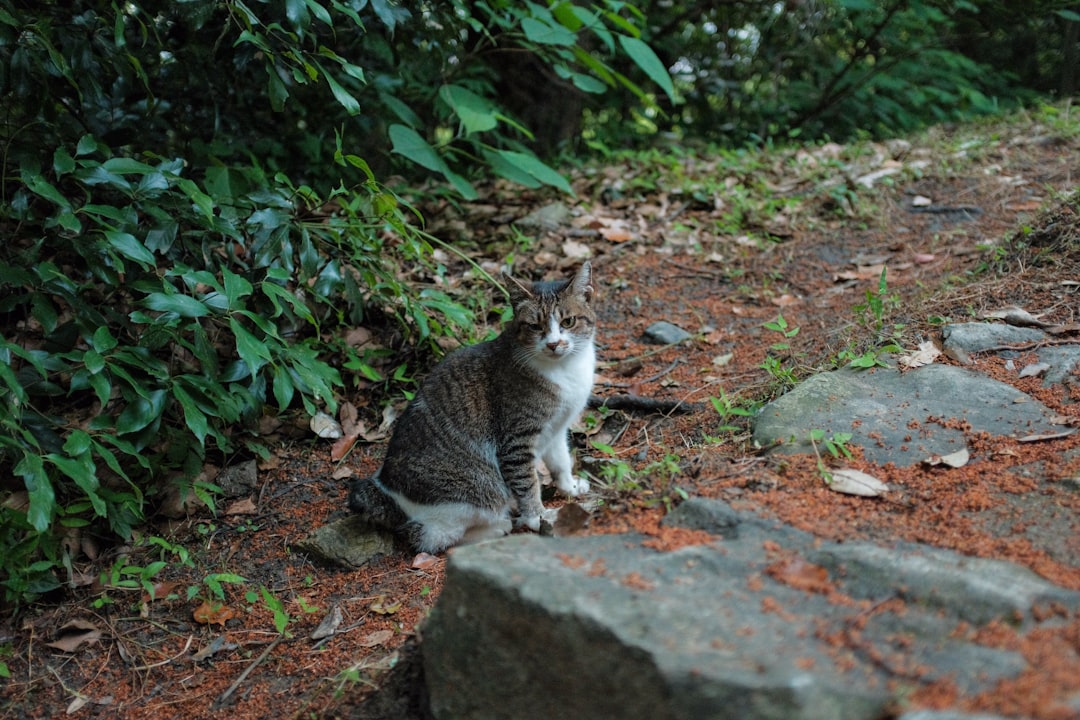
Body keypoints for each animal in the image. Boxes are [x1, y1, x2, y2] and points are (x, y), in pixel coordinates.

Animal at [347, 262, 596, 557]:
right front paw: (539, 517)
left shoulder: (557, 427)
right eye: (535, 326)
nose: (554, 344)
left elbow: (560, 462)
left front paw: (569, 487)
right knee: (432, 537)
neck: (565, 370)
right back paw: (497, 528)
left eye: (568, 322)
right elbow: (527, 483)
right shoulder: (516, 440)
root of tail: (387, 489)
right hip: (480, 488)